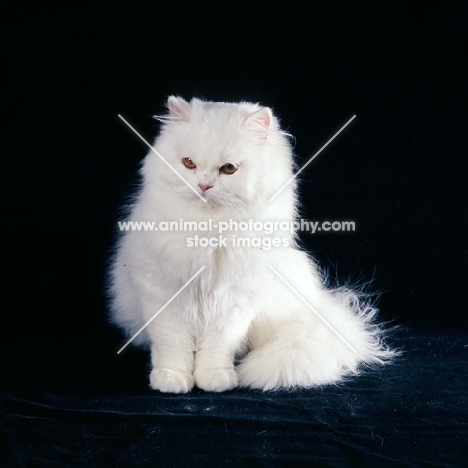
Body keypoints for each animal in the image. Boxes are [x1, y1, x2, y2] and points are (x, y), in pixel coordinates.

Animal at [109, 97, 394, 394]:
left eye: (228, 168)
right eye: (189, 163)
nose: (203, 185)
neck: (210, 231)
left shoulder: (234, 300)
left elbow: (217, 347)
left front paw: (215, 379)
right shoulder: (163, 294)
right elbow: (173, 347)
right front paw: (172, 380)